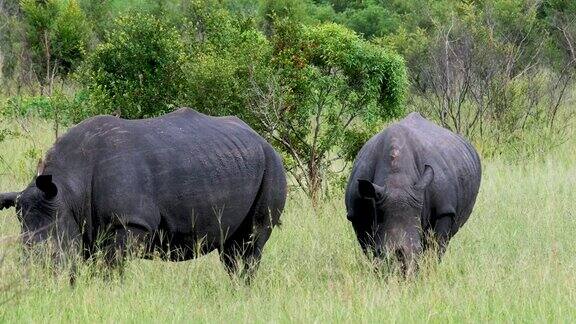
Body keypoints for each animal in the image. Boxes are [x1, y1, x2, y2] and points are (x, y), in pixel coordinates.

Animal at [346, 111, 482, 274]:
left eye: (418, 249)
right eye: (380, 251)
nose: (403, 274)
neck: (396, 179)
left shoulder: (444, 210)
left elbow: (435, 248)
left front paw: (428, 273)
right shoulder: (357, 215)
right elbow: (368, 249)